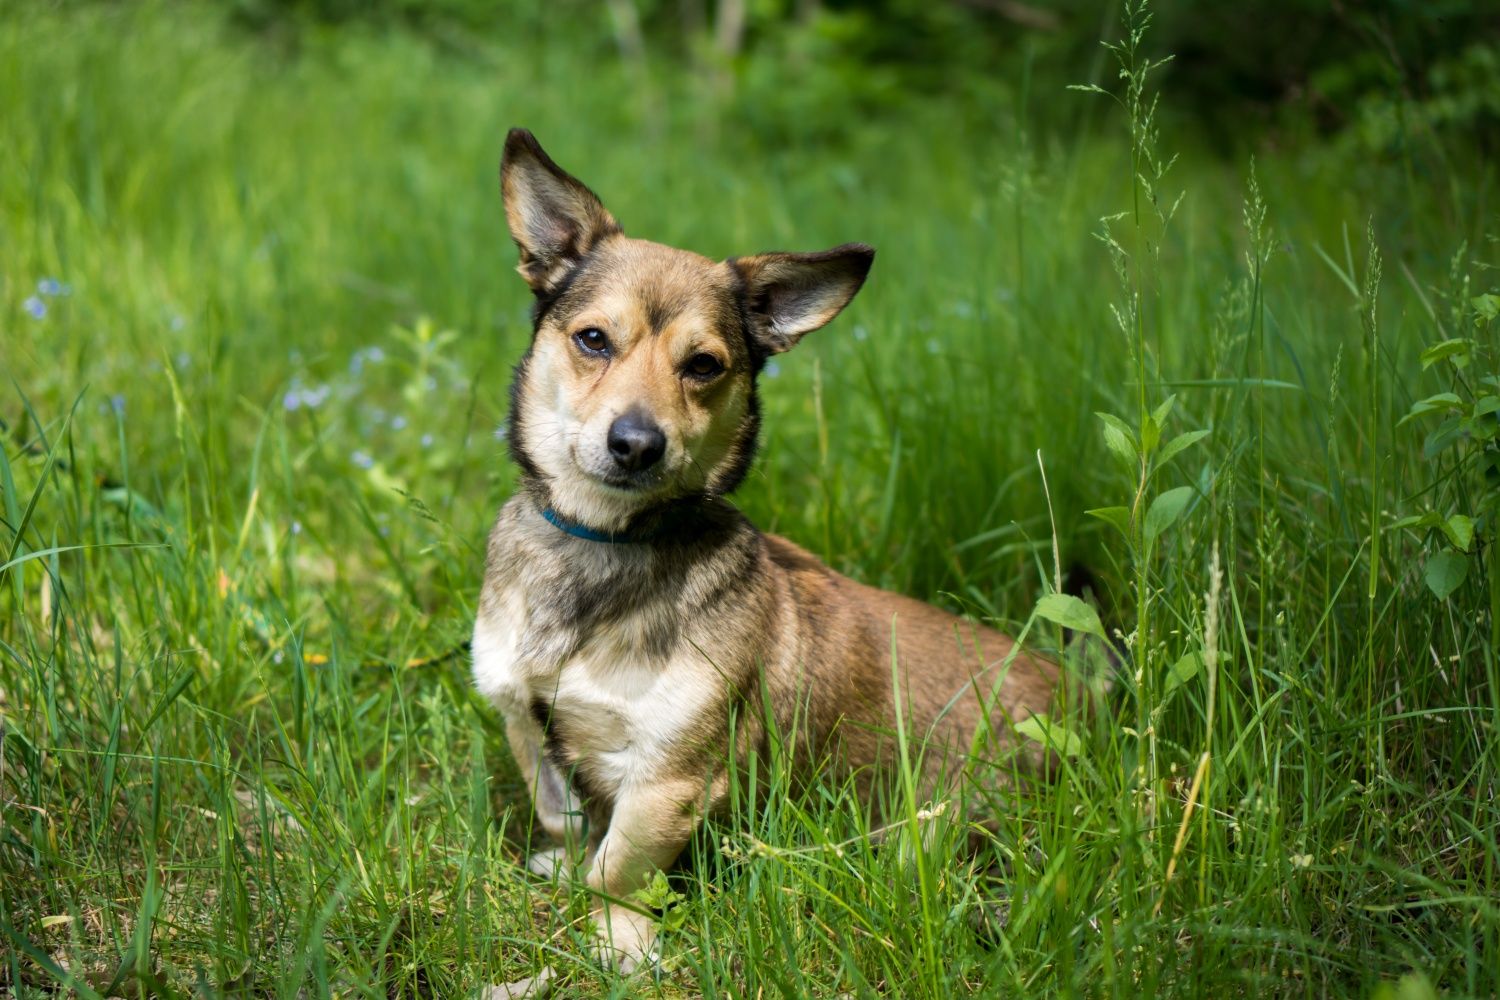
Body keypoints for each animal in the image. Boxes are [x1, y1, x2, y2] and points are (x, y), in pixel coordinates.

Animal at [474, 127, 1062, 995]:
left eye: (704, 365)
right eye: (593, 340)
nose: (637, 443)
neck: (603, 545)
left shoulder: (671, 777)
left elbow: (618, 869)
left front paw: (617, 945)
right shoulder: (523, 711)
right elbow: (565, 817)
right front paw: (563, 869)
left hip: (935, 821)